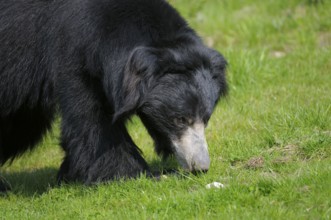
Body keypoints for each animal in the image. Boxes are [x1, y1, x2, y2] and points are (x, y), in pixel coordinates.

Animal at [0, 0, 227, 189]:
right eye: (180, 119)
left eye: (206, 119)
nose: (201, 167)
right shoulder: (74, 56)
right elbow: (93, 122)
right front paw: (138, 174)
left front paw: (68, 174)